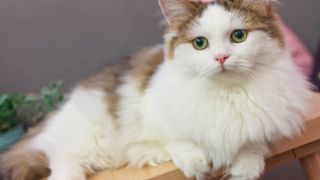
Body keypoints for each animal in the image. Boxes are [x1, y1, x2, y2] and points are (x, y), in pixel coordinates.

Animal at [0, 0, 310, 180]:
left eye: (239, 36)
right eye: (200, 43)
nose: (221, 58)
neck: (228, 94)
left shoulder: (274, 115)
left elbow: (253, 142)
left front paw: (245, 167)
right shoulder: (152, 111)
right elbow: (178, 139)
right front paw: (195, 162)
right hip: (91, 142)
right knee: (62, 160)